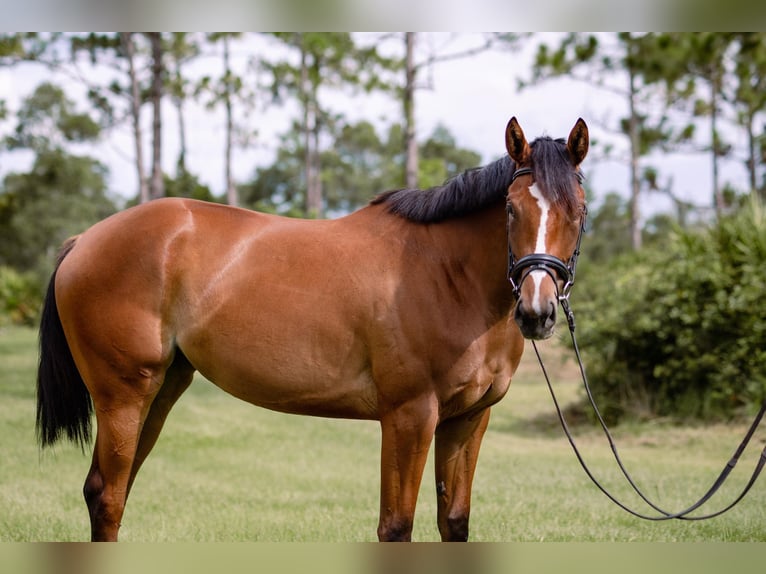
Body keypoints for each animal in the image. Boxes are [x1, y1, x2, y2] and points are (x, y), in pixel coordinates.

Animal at [36, 118, 592, 544]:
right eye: (510, 208)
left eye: (579, 211)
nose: (537, 311)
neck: (445, 273)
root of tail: (84, 239)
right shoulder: (410, 416)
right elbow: (396, 527)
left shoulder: (469, 419)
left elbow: (453, 523)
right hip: (124, 396)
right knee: (107, 496)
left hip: (162, 389)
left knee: (113, 490)